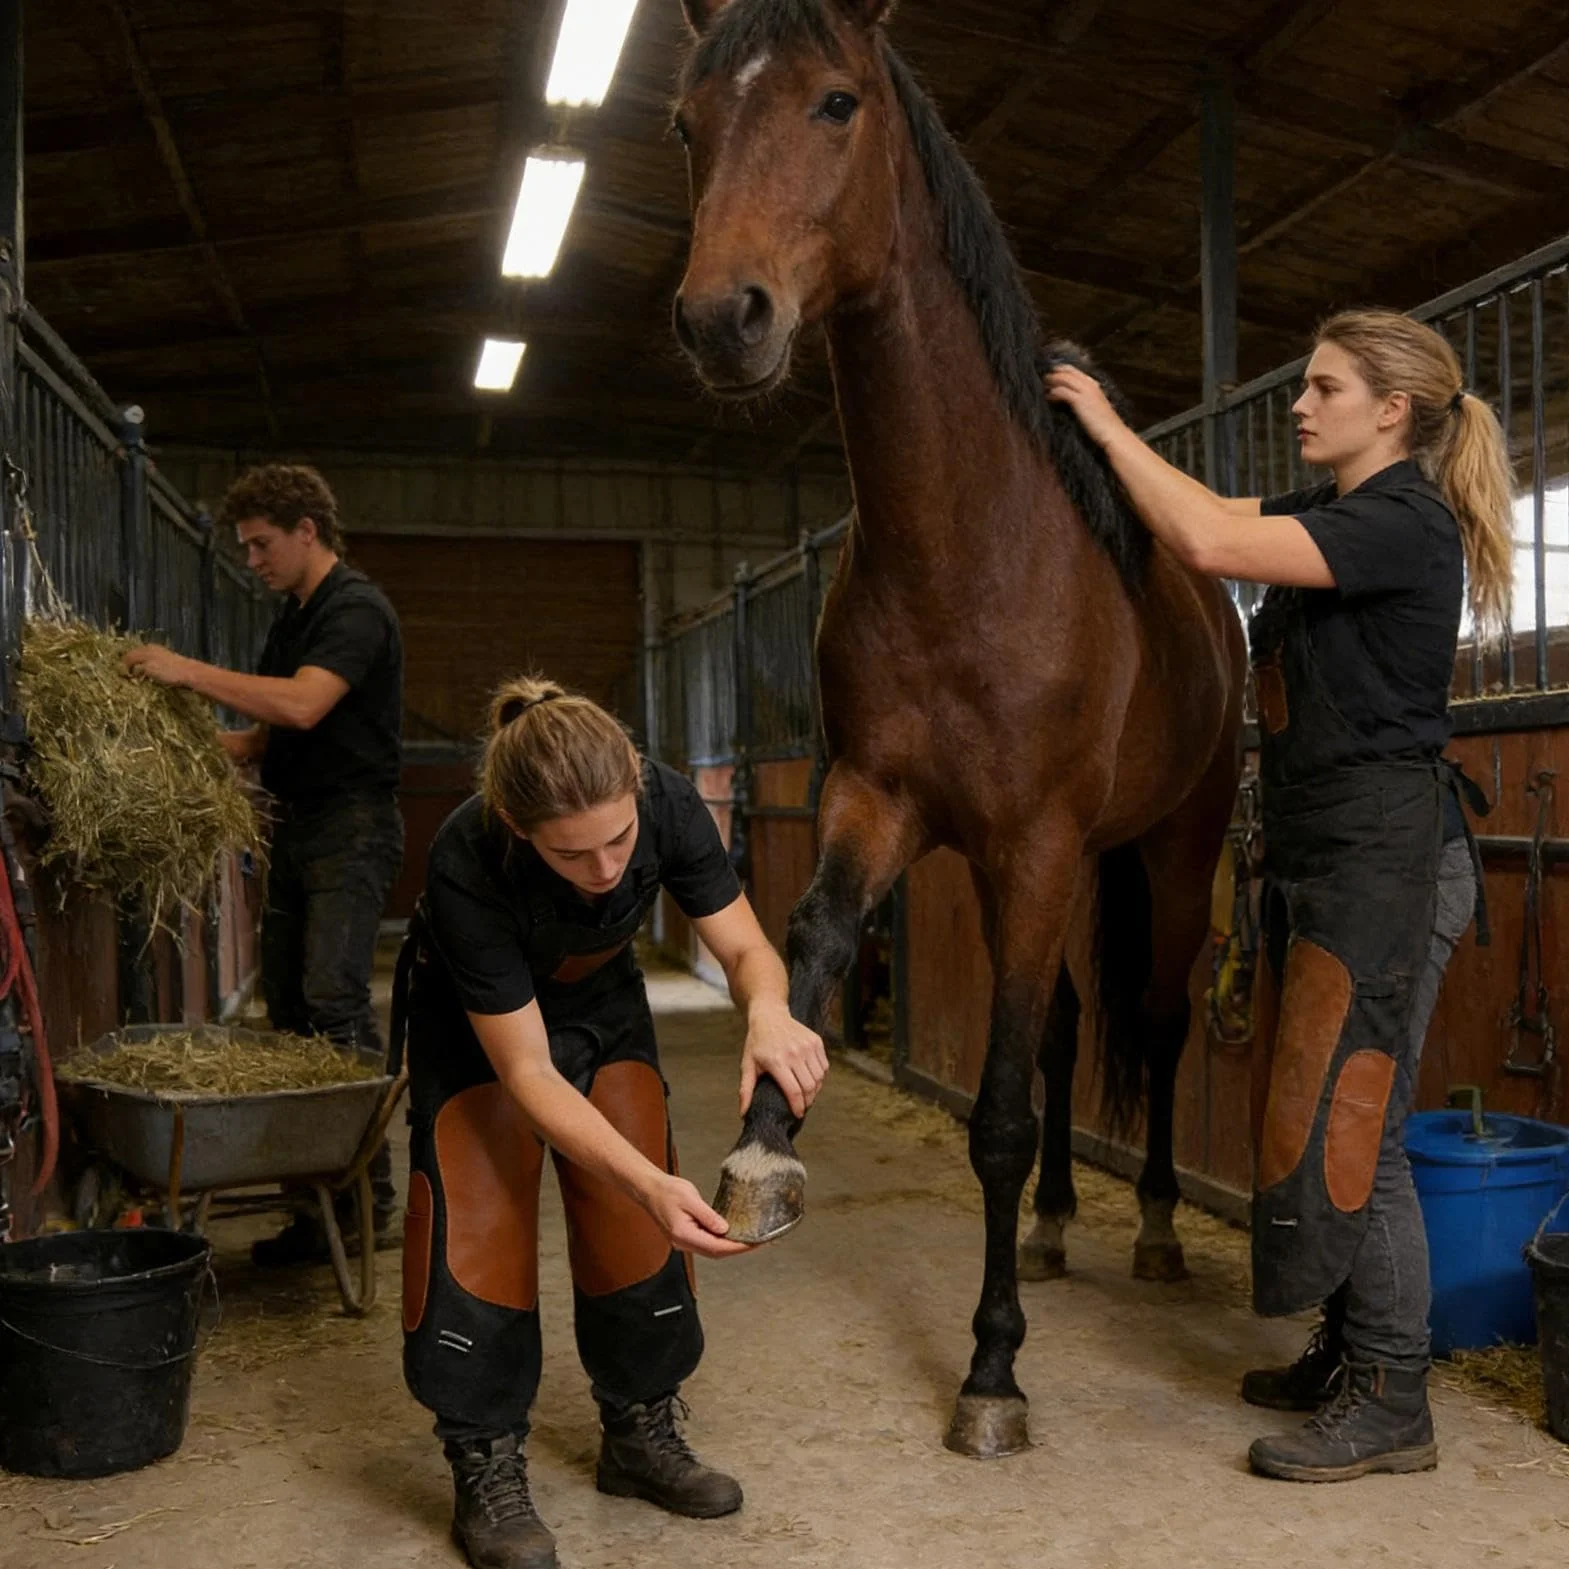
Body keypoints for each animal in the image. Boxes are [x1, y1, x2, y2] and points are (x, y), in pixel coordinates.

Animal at [671, 0, 1247, 1458]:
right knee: (1063, 1026)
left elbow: (995, 1116)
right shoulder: (875, 801)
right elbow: (816, 941)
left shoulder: (1031, 844)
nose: (721, 318)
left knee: (1154, 1021)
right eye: (688, 125)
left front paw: (992, 1371)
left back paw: (1155, 1228)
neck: (969, 549)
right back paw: (1051, 1227)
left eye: (835, 104)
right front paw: (762, 1148)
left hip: (1163, 854)